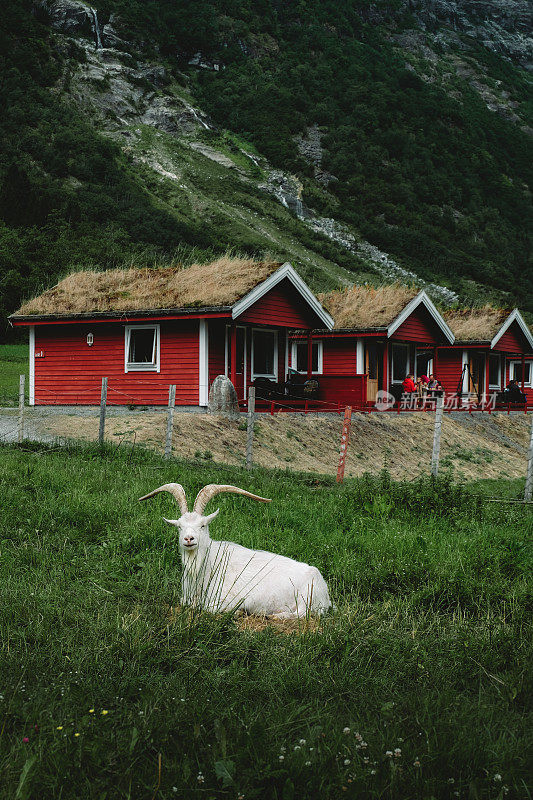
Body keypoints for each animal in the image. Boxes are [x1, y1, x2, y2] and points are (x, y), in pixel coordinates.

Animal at [139, 482, 330, 620]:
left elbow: (207, 607)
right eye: (179, 526)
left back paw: (275, 616)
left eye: (203, 525)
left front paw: (238, 612)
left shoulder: (231, 598)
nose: (189, 539)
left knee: (303, 613)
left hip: (307, 596)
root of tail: (326, 596)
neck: (208, 564)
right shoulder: (185, 598)